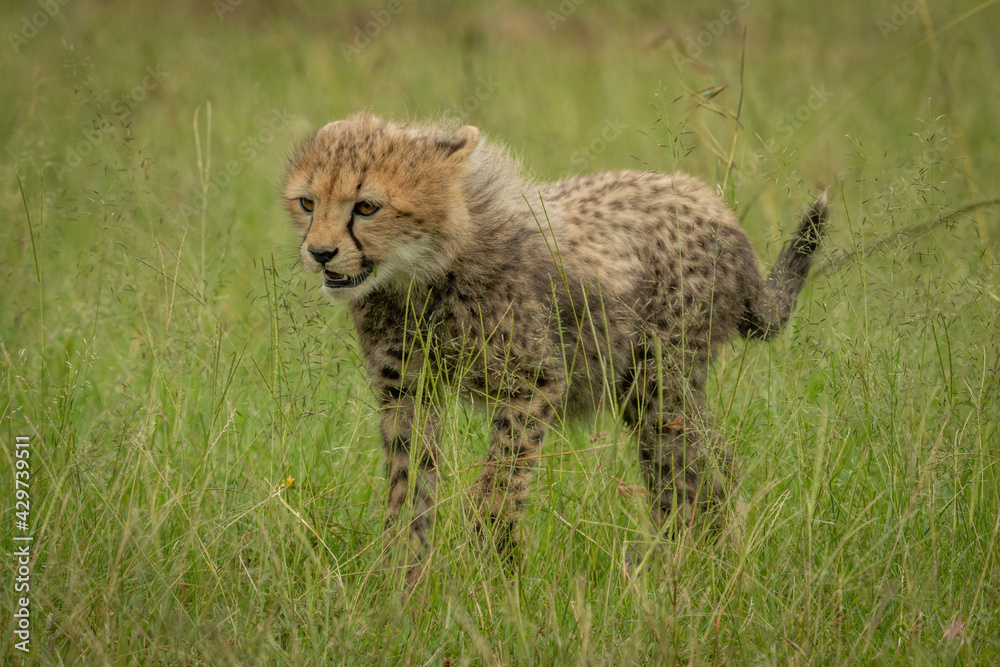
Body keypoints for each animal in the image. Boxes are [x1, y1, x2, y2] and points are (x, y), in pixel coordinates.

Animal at [282, 111, 828, 578]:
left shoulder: (533, 382)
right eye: (308, 202)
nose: (320, 252)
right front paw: (402, 577)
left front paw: (491, 569)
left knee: (687, 468)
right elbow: (409, 482)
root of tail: (711, 203)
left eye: (366, 207)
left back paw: (673, 565)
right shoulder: (408, 391)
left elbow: (500, 481)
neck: (424, 273)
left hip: (659, 380)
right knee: (706, 459)